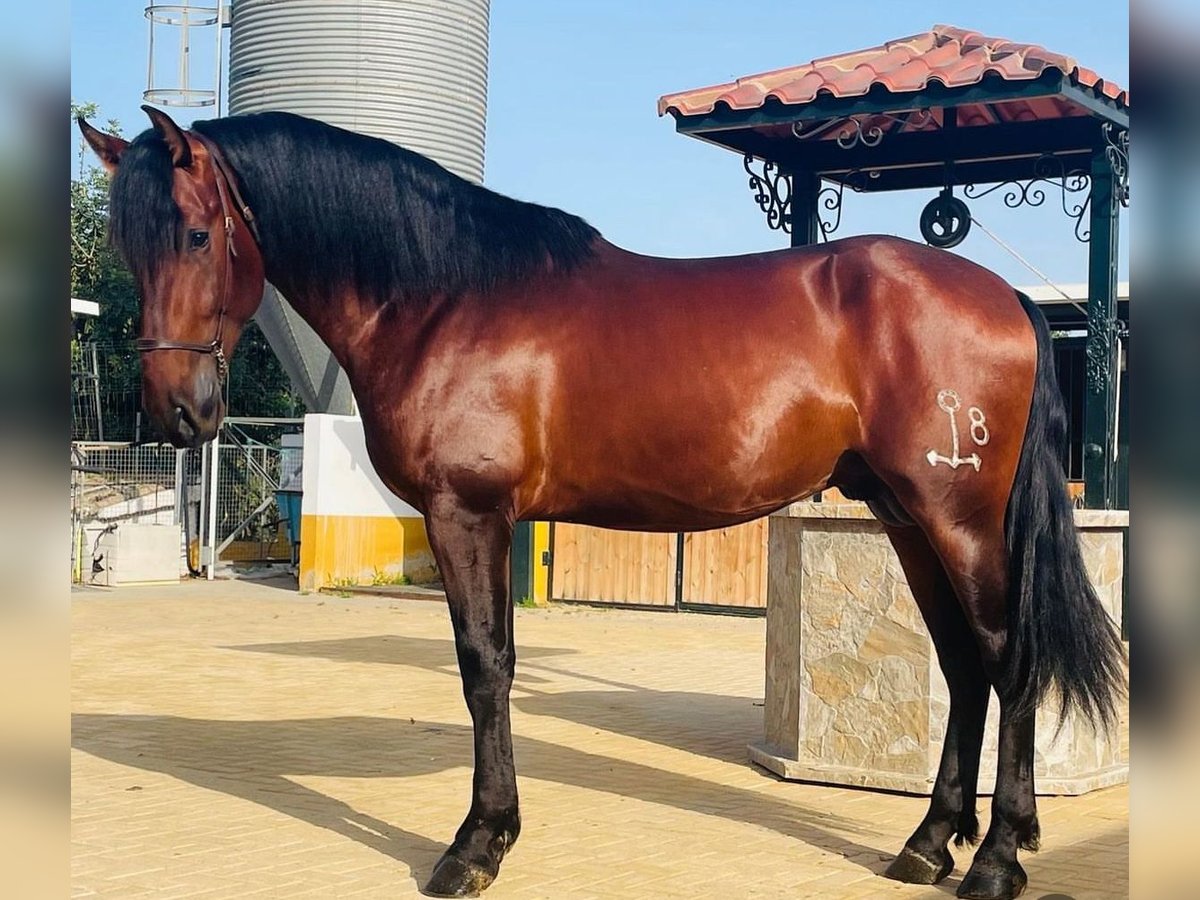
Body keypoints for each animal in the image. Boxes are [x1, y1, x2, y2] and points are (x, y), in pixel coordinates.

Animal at [77, 107, 1123, 900]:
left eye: (199, 234)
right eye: (129, 245)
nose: (177, 412)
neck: (445, 298)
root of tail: (1006, 298)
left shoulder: (468, 514)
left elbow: (485, 670)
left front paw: (474, 847)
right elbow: (493, 667)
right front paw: (493, 834)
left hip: (960, 521)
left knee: (1009, 661)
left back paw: (994, 861)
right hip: (908, 521)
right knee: (963, 665)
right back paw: (928, 844)